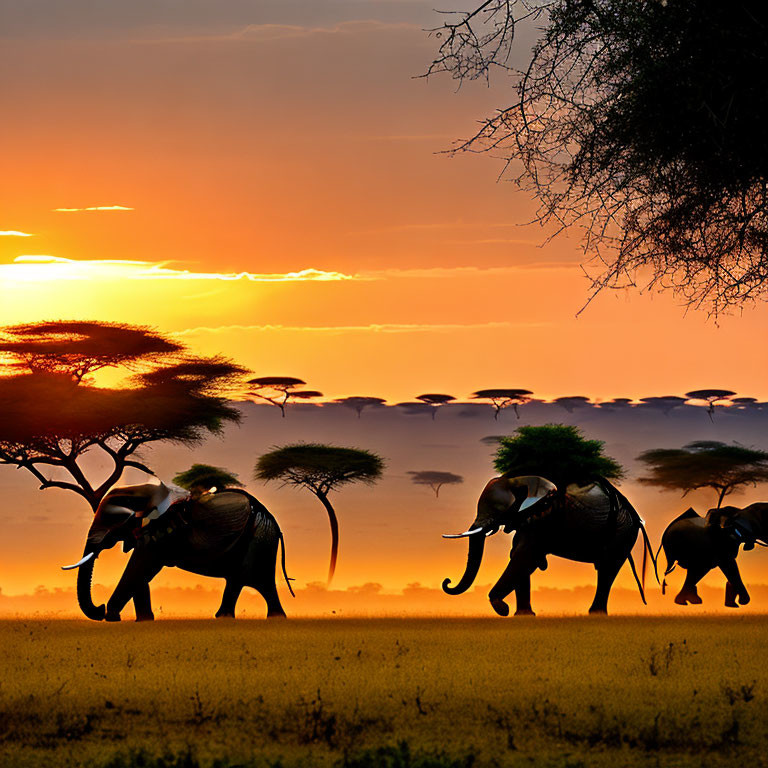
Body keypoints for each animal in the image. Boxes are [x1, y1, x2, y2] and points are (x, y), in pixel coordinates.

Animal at [60, 476, 292, 620]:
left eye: (114, 521)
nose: (99, 609)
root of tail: (271, 519)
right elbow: (140, 572)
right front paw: (144, 620)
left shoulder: (161, 531)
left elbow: (139, 567)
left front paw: (111, 617)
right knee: (241, 581)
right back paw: (228, 617)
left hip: (259, 540)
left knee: (255, 580)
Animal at [440, 476, 652, 616]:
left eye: (497, 510)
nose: (447, 581)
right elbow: (520, 557)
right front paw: (523, 616)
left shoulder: (544, 518)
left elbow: (524, 556)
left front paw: (502, 608)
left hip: (622, 532)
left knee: (608, 568)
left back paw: (595, 614)